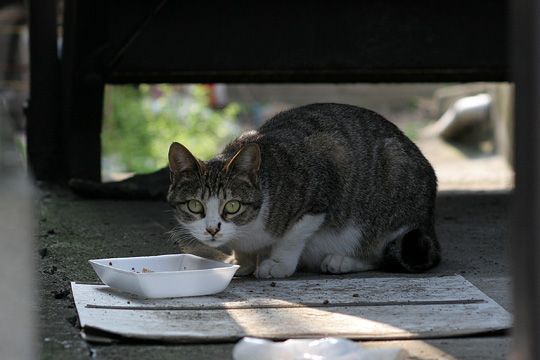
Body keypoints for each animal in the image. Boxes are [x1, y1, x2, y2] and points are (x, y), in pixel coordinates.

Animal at [168, 102, 438, 278]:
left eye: (232, 206)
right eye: (195, 205)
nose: (212, 230)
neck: (249, 231)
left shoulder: (323, 180)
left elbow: (293, 235)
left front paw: (278, 264)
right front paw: (241, 261)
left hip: (393, 184)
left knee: (384, 252)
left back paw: (343, 260)